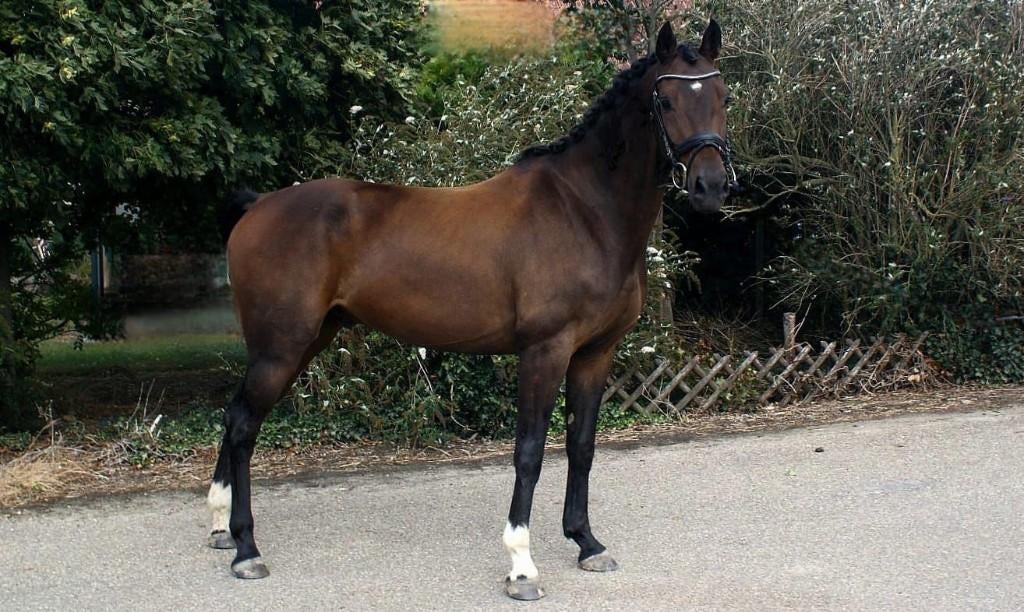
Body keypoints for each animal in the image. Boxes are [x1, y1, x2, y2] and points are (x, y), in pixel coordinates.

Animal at [206, 19, 735, 600]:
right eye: (664, 100)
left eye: (723, 96)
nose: (711, 187)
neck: (586, 210)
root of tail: (258, 207)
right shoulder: (545, 351)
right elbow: (529, 451)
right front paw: (522, 566)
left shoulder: (596, 353)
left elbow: (581, 446)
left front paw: (586, 542)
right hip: (281, 348)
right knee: (242, 425)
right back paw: (247, 549)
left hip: (304, 342)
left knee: (236, 416)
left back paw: (222, 529)